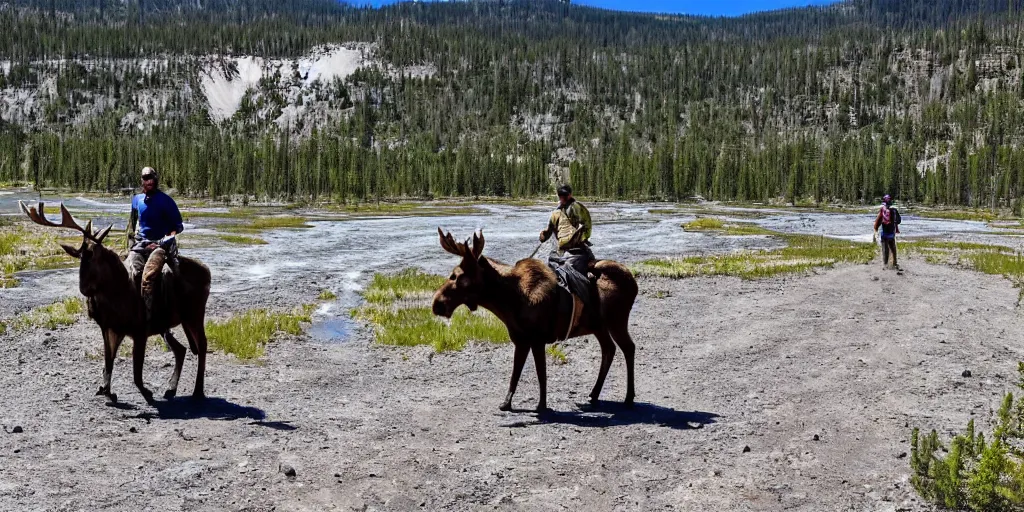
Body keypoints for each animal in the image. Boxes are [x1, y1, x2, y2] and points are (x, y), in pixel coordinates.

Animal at [19, 201, 211, 401]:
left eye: (94, 254)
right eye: (79, 257)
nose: (84, 289)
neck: (115, 295)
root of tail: (207, 271)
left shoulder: (140, 331)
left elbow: (136, 374)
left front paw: (146, 393)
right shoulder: (110, 328)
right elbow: (108, 362)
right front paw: (107, 391)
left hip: (195, 314)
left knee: (202, 346)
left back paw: (198, 390)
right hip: (169, 324)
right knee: (181, 349)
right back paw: (171, 389)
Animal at [428, 229, 634, 411]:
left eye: (457, 276)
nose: (437, 304)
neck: (507, 302)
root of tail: (633, 282)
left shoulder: (538, 339)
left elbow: (540, 374)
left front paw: (541, 405)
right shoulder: (521, 339)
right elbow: (516, 373)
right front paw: (507, 403)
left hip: (617, 321)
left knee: (628, 347)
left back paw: (628, 398)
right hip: (599, 326)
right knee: (609, 349)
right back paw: (595, 394)